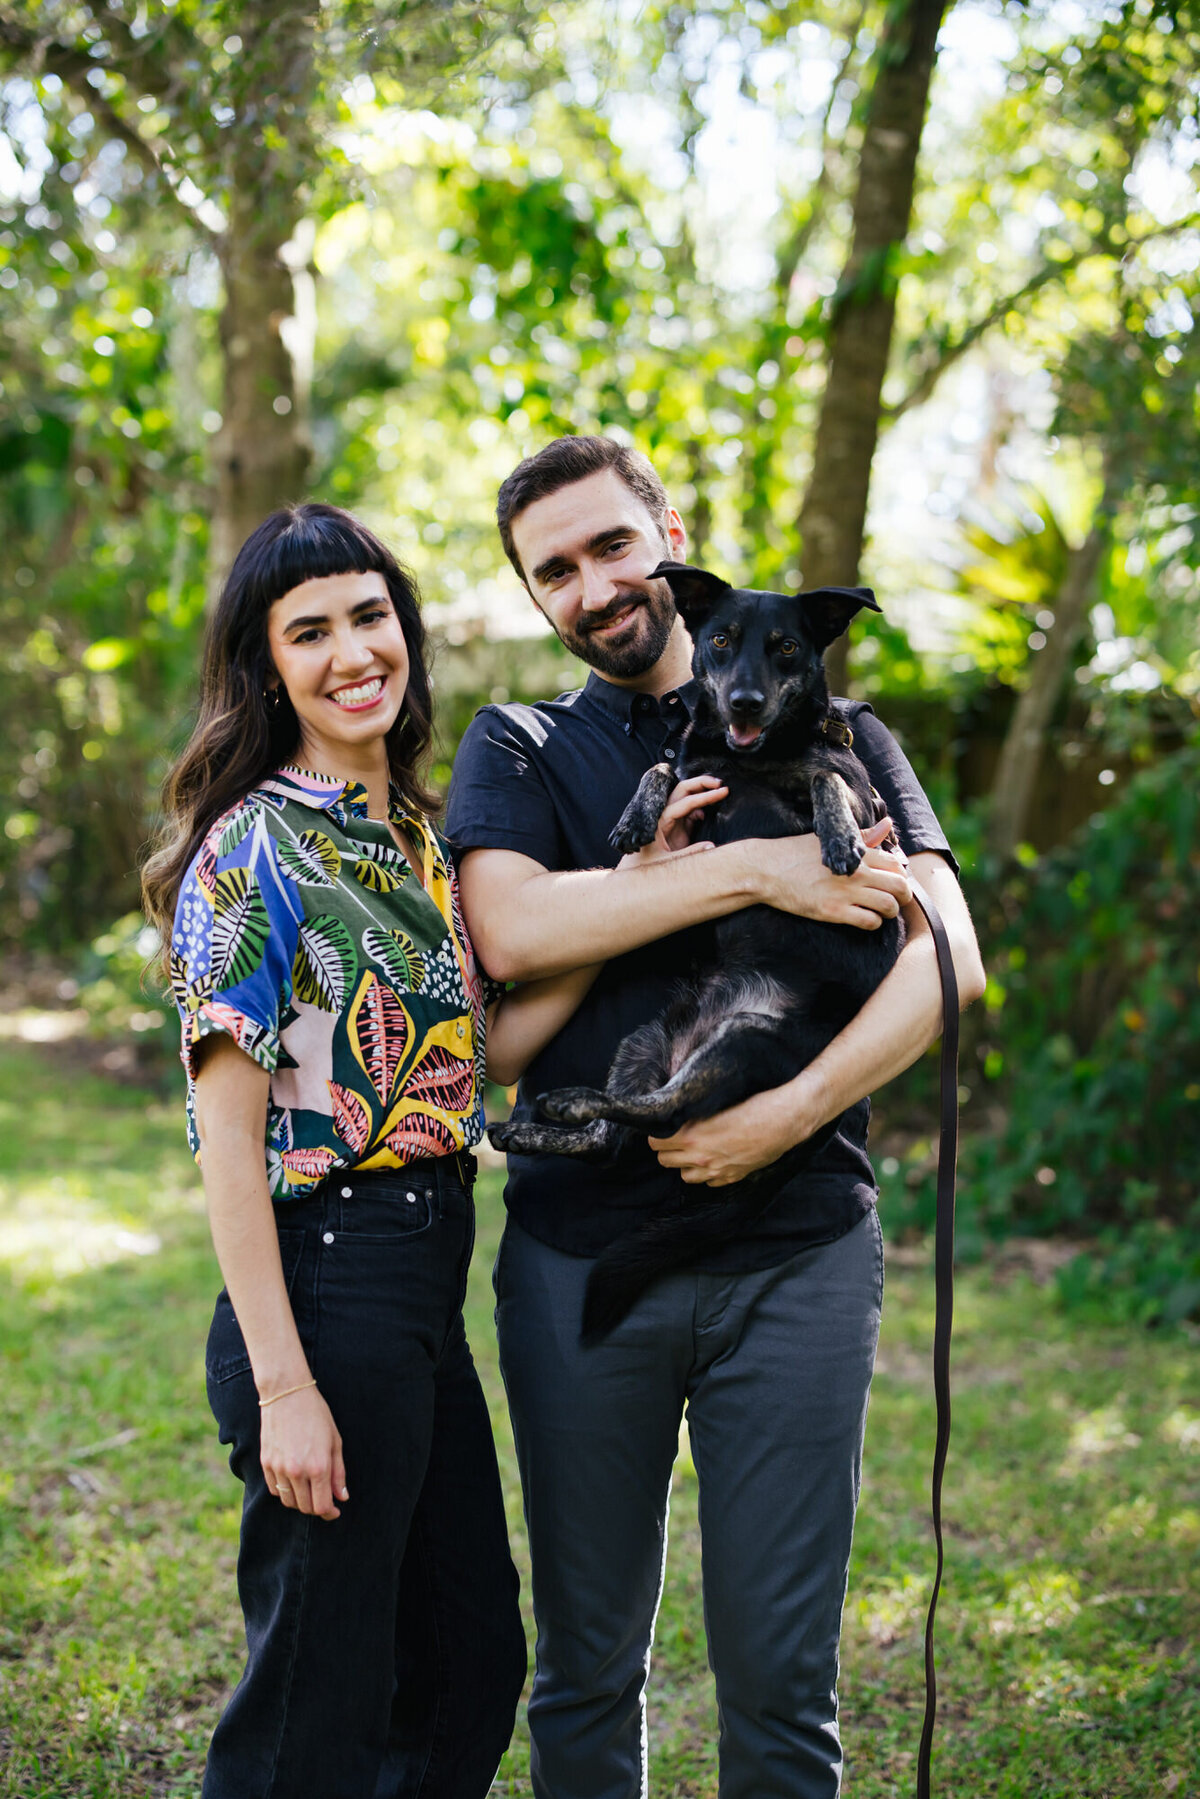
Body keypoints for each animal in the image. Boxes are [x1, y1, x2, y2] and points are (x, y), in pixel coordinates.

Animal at [485, 561, 899, 1338]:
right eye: (722, 640)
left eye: (787, 647)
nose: (743, 699)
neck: (753, 757)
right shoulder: (693, 778)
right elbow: (659, 772)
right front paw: (634, 819)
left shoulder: (865, 802)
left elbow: (828, 777)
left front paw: (836, 840)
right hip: (646, 1040)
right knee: (619, 1134)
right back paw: (540, 1122)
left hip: (747, 1044)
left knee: (657, 1118)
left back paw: (563, 1107)